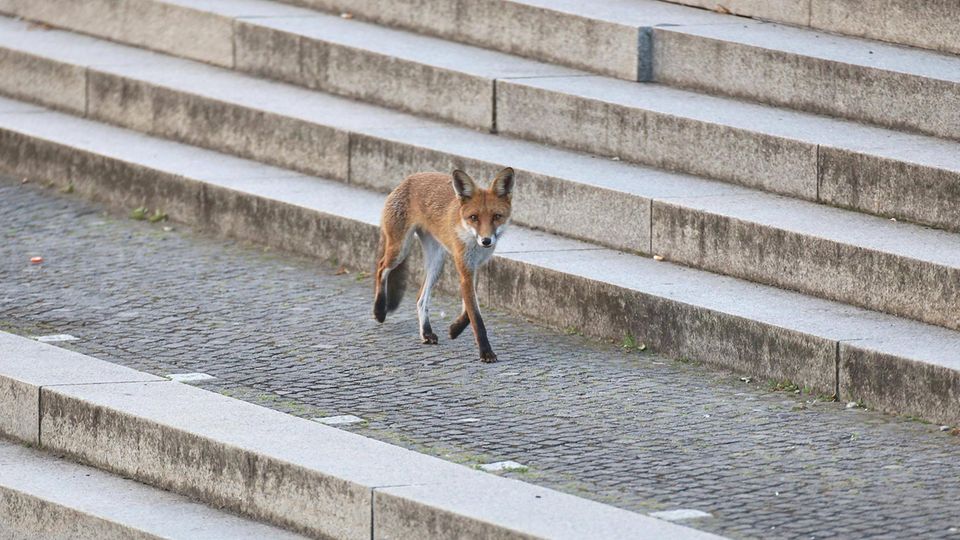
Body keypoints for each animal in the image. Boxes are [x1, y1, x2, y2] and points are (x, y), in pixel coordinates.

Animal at [373, 167, 515, 363]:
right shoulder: (465, 270)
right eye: (474, 217)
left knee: (420, 298)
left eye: (496, 217)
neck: (470, 237)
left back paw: (426, 333)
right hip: (400, 249)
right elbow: (476, 318)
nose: (486, 241)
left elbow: (468, 311)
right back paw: (379, 310)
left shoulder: (474, 269)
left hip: (437, 262)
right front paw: (486, 352)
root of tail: (409, 178)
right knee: (381, 268)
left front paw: (455, 329)